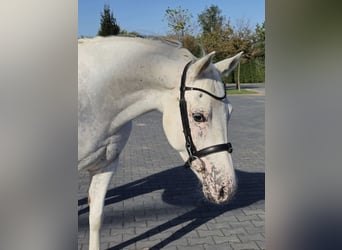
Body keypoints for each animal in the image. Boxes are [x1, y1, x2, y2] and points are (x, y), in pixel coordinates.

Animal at [78, 36, 242, 249]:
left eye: (229, 113)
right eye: (198, 116)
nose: (227, 189)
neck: (94, 101)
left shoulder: (105, 166)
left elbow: (96, 218)